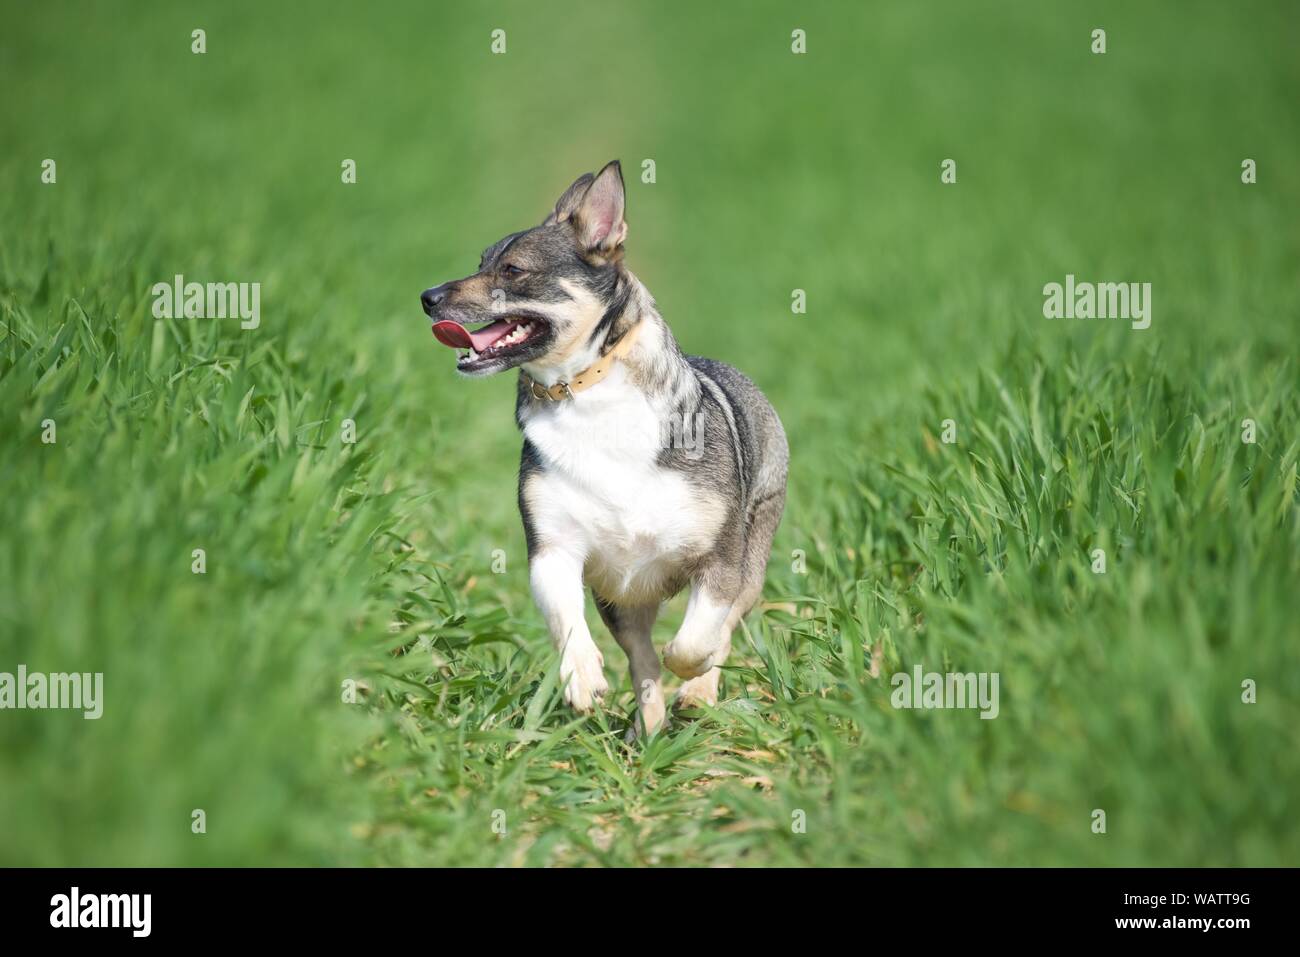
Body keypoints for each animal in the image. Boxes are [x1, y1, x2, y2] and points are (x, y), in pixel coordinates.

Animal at [426, 160, 785, 738]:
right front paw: (583, 680)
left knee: (723, 625)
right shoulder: (553, 551)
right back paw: (648, 727)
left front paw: (694, 674)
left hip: (755, 547)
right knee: (639, 655)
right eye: (480, 262)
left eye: (513, 270)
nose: (428, 297)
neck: (583, 390)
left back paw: (695, 695)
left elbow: (698, 639)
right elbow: (569, 623)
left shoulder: (720, 560)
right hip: (619, 597)